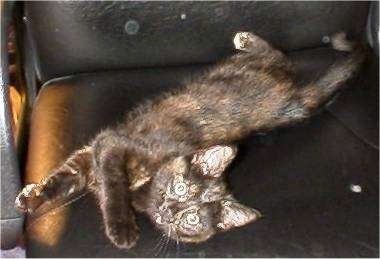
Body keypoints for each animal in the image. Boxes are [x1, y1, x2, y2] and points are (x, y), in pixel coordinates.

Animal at [16, 31, 366, 251]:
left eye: (191, 218)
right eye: (181, 187)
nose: (169, 209)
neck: (148, 186)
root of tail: (293, 97)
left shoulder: (101, 150)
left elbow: (89, 178)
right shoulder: (110, 143)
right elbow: (96, 178)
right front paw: (38, 196)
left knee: (281, 58)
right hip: (241, 69)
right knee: (278, 55)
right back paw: (247, 39)